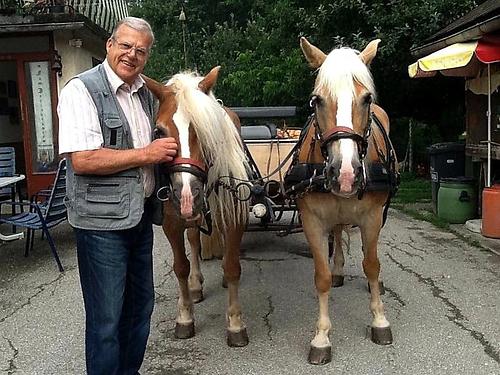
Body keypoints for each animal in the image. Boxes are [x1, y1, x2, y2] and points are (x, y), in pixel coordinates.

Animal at [142, 67, 250, 346]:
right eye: (159, 131)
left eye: (206, 130)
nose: (187, 196)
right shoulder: (172, 223)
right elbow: (180, 266)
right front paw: (184, 317)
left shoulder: (234, 218)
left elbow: (233, 266)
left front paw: (235, 323)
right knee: (193, 238)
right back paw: (195, 284)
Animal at [294, 39, 400, 368]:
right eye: (316, 100)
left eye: (366, 99)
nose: (345, 173)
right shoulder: (312, 220)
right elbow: (322, 277)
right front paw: (321, 337)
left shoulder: (373, 217)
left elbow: (372, 264)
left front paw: (380, 321)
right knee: (339, 232)